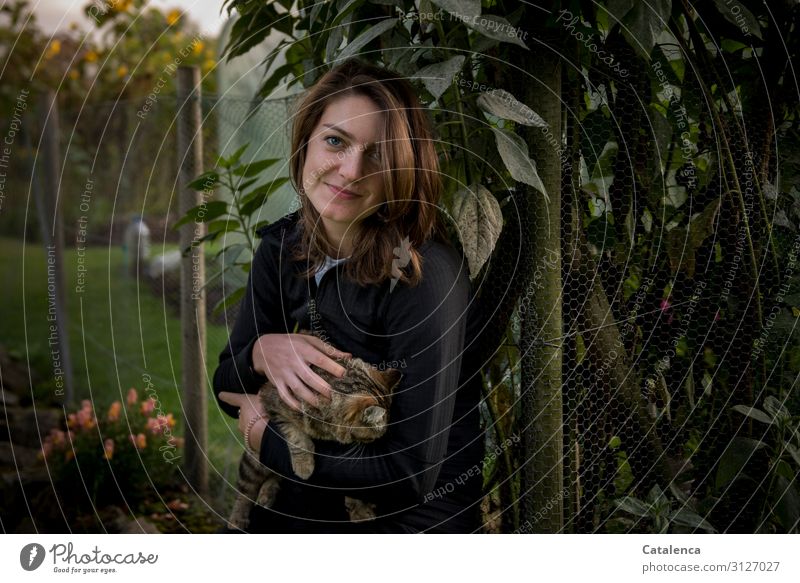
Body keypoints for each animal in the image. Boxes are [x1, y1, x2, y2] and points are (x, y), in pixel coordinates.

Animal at [227, 350, 400, 532]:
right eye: (379, 432)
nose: (384, 436)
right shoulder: (275, 406)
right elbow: (296, 436)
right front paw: (304, 465)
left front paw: (360, 509)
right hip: (254, 460)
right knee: (245, 488)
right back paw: (237, 518)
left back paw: (267, 493)